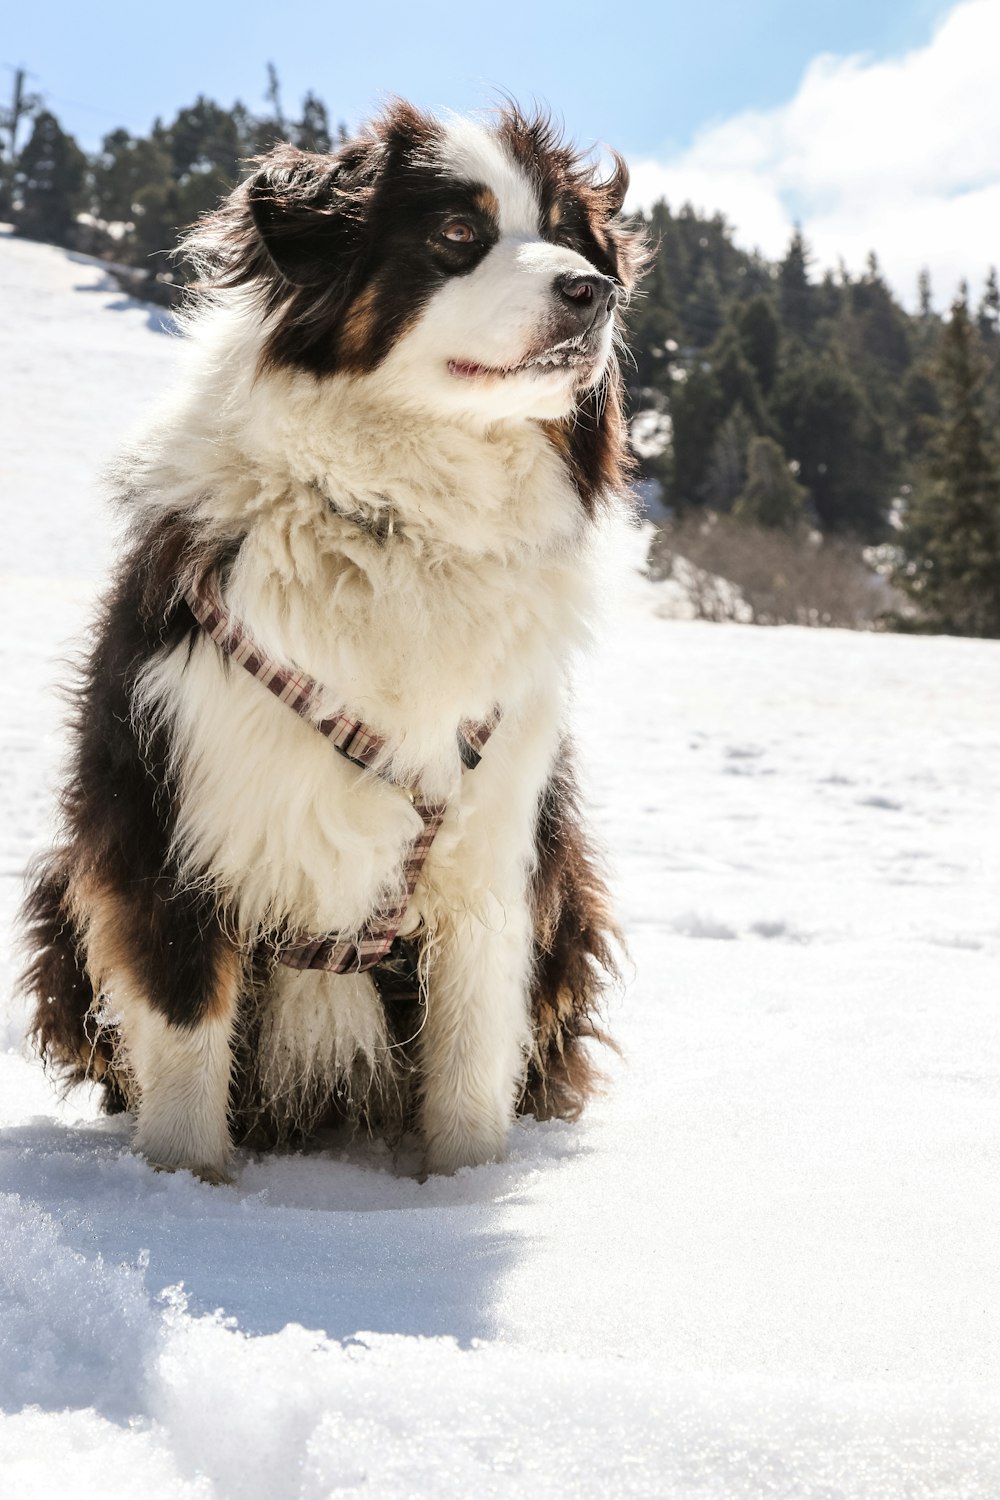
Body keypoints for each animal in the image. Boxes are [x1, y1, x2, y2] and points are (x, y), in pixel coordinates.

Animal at [21, 102, 650, 1182]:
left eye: (572, 237)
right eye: (457, 233)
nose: (593, 291)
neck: (397, 527)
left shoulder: (494, 847)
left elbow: (468, 1060)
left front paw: (458, 1193)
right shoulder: (169, 822)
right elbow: (185, 1050)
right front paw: (186, 1194)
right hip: (65, 891)